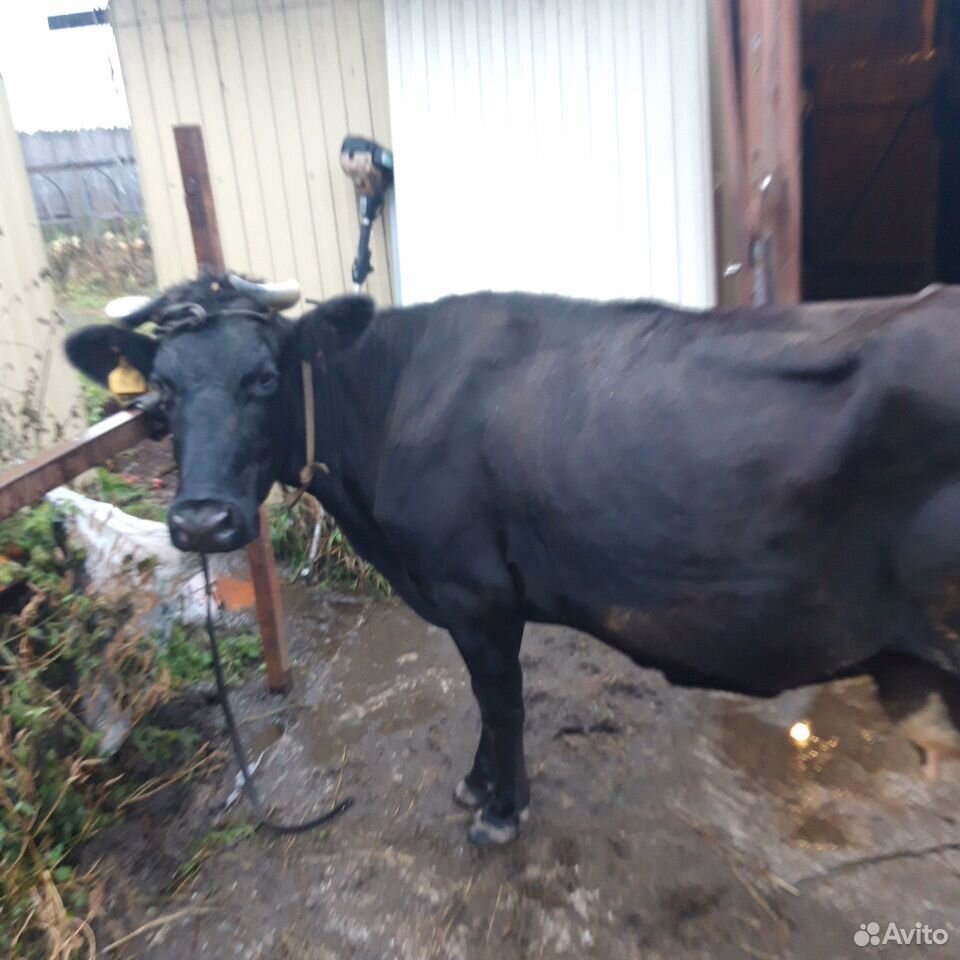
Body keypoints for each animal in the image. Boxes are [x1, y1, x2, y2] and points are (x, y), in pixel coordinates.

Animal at [65, 273, 960, 845]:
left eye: (263, 377)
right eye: (161, 391)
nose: (203, 520)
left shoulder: (475, 591)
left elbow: (501, 702)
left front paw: (501, 809)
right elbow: (488, 702)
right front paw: (479, 784)